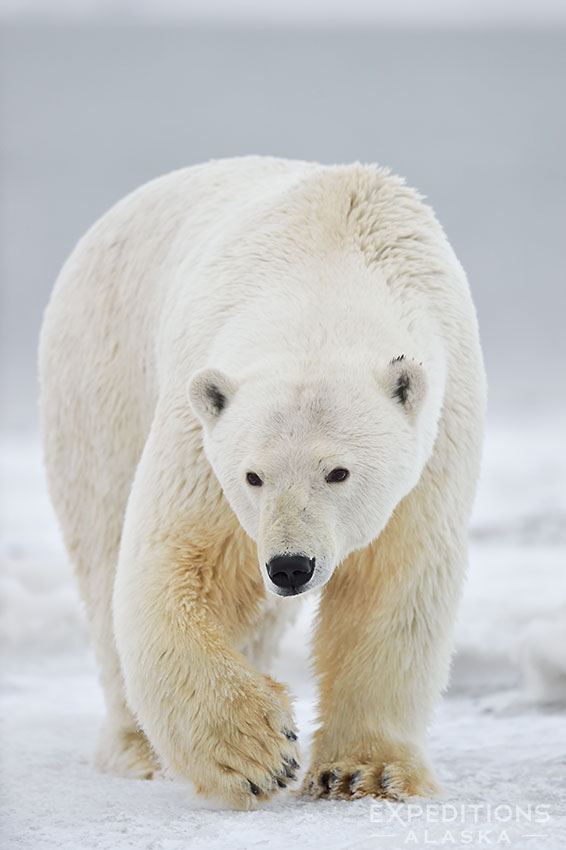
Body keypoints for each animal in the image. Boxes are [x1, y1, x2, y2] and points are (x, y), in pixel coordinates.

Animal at [38, 157, 488, 808]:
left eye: (338, 471)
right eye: (252, 474)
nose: (290, 566)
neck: (327, 262)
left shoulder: (439, 433)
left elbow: (394, 582)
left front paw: (365, 772)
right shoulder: (200, 431)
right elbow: (172, 559)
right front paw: (257, 750)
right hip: (102, 378)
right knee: (102, 550)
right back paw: (138, 748)